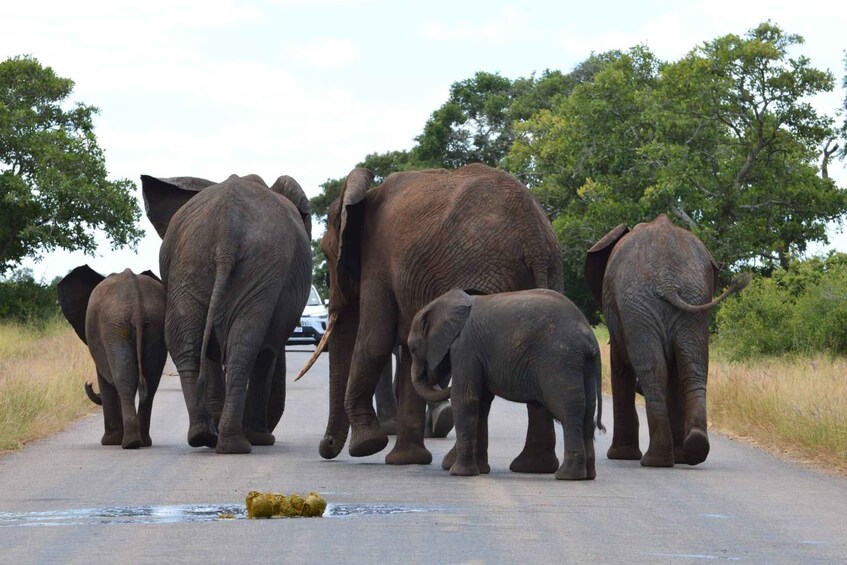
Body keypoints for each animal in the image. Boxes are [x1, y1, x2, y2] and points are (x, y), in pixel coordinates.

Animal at [57, 265, 166, 449]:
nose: (88, 383)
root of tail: (136, 302)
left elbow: (105, 379)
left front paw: (109, 442)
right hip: (153, 325)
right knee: (151, 382)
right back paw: (143, 442)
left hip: (114, 327)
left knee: (124, 380)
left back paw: (129, 443)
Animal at [141, 173, 312, 454]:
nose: (270, 432)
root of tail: (226, 231)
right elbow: (266, 350)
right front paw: (261, 438)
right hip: (248, 265)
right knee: (244, 348)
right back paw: (237, 443)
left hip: (191, 263)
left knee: (189, 343)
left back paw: (205, 437)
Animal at [297, 163, 564, 471]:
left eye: (326, 253)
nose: (326, 445)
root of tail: (534, 236)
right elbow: (409, 358)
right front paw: (405, 461)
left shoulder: (378, 260)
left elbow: (374, 342)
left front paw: (366, 446)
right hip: (549, 272)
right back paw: (532, 466)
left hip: (490, 275)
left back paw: (458, 463)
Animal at [409, 289, 604, 480]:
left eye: (412, 348)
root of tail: (590, 339)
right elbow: (482, 403)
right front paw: (481, 471)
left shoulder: (465, 347)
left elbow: (466, 398)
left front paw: (459, 473)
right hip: (582, 366)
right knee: (588, 413)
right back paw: (588, 475)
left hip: (560, 361)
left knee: (568, 411)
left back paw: (567, 476)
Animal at [584, 214, 749, 467]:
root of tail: (668, 281)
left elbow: (620, 368)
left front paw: (621, 456)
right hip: (690, 299)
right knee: (691, 367)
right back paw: (691, 451)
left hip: (640, 303)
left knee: (654, 370)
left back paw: (656, 460)